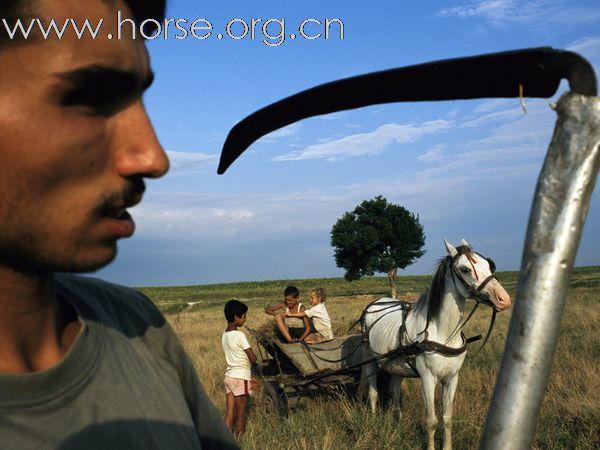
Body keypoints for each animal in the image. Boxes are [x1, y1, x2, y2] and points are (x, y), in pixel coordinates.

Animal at [360, 241, 510, 450]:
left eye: (490, 265)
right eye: (465, 269)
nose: (504, 299)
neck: (443, 334)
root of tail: (376, 303)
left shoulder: (452, 378)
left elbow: (447, 418)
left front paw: (447, 446)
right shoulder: (428, 379)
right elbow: (431, 420)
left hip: (396, 366)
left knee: (394, 391)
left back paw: (397, 423)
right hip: (370, 360)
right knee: (373, 392)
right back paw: (374, 421)